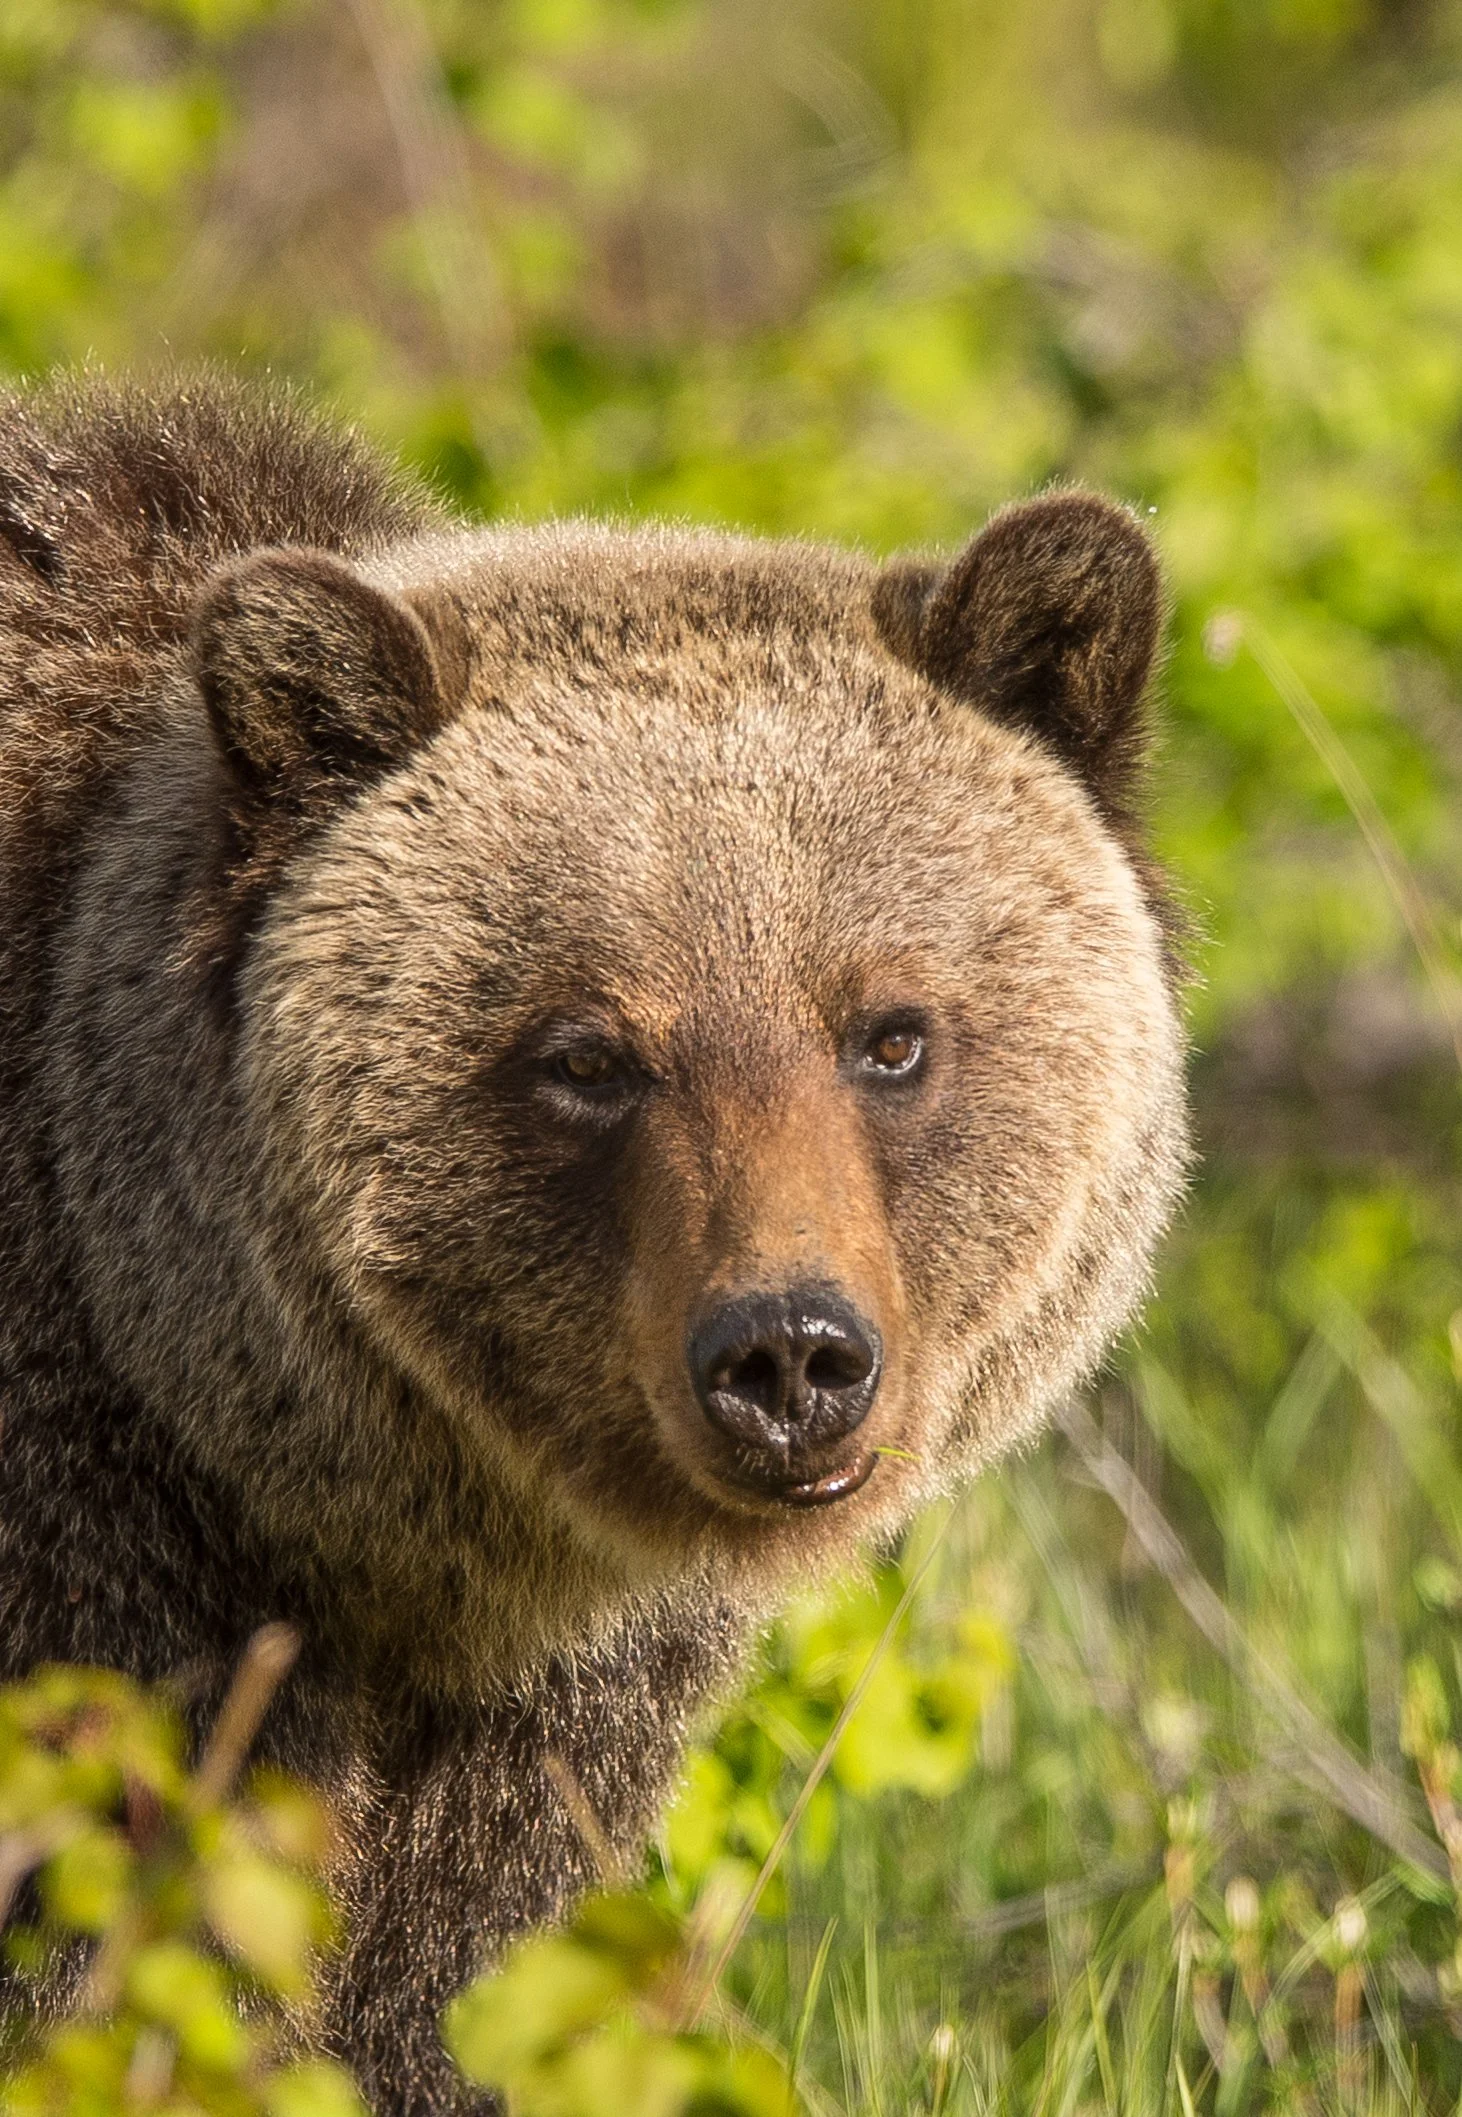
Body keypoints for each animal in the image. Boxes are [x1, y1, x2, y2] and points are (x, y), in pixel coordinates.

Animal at [0, 371, 1187, 2114]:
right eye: (588, 1054)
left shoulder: (539, 1711)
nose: (790, 1356)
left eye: (889, 1034)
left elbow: (441, 1983)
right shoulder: (96, 1566)